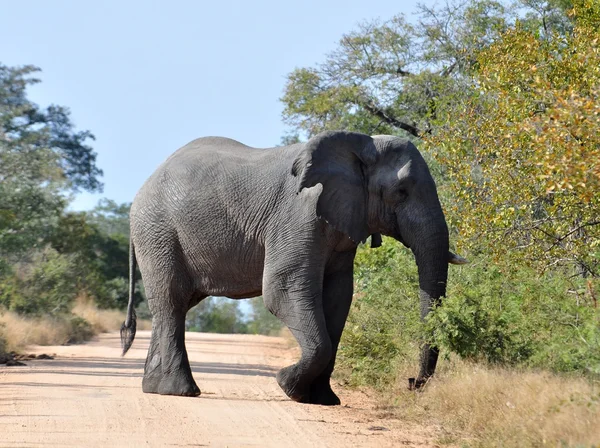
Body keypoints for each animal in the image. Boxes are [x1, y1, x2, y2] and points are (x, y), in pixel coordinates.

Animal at [122, 130, 466, 406]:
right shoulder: (298, 215)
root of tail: (141, 189)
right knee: (172, 301)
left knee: (174, 307)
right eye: (401, 192)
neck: (360, 145)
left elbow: (338, 298)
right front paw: (287, 385)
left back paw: (155, 388)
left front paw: (324, 400)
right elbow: (282, 289)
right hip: (158, 232)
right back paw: (181, 391)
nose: (412, 383)